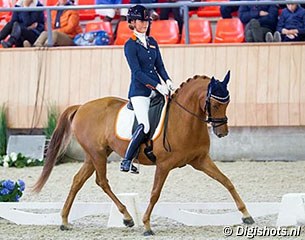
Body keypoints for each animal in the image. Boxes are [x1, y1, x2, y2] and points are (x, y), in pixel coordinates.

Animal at [32, 71, 254, 236]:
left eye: (227, 102)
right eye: (215, 104)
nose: (222, 132)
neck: (184, 119)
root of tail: (81, 107)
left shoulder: (200, 160)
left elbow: (226, 181)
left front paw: (246, 215)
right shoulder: (164, 165)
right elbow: (155, 193)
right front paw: (147, 225)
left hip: (94, 155)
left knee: (78, 180)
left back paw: (65, 221)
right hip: (97, 154)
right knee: (101, 181)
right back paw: (127, 217)